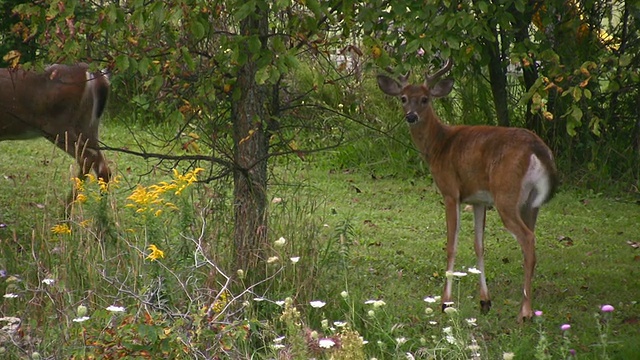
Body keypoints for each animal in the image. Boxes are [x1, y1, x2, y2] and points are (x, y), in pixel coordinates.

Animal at [378, 58, 556, 320]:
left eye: (425, 99)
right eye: (403, 98)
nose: (411, 116)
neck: (439, 145)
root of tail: (538, 149)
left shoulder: (451, 192)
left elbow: (451, 245)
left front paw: (445, 302)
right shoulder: (478, 200)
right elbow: (479, 246)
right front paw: (485, 301)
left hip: (506, 195)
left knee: (528, 239)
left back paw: (524, 312)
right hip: (531, 204)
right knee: (530, 245)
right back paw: (527, 308)